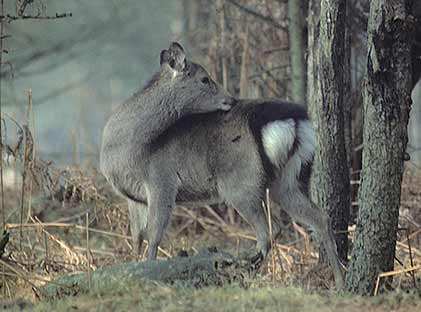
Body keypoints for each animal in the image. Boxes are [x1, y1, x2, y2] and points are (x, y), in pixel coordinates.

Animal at [99, 42, 344, 288]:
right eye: (205, 79)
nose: (231, 99)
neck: (131, 151)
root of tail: (295, 122)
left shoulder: (162, 182)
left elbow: (154, 235)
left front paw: (149, 272)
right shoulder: (135, 198)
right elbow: (137, 237)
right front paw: (132, 266)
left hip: (240, 183)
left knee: (267, 233)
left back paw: (232, 265)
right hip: (287, 180)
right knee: (319, 217)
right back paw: (340, 279)